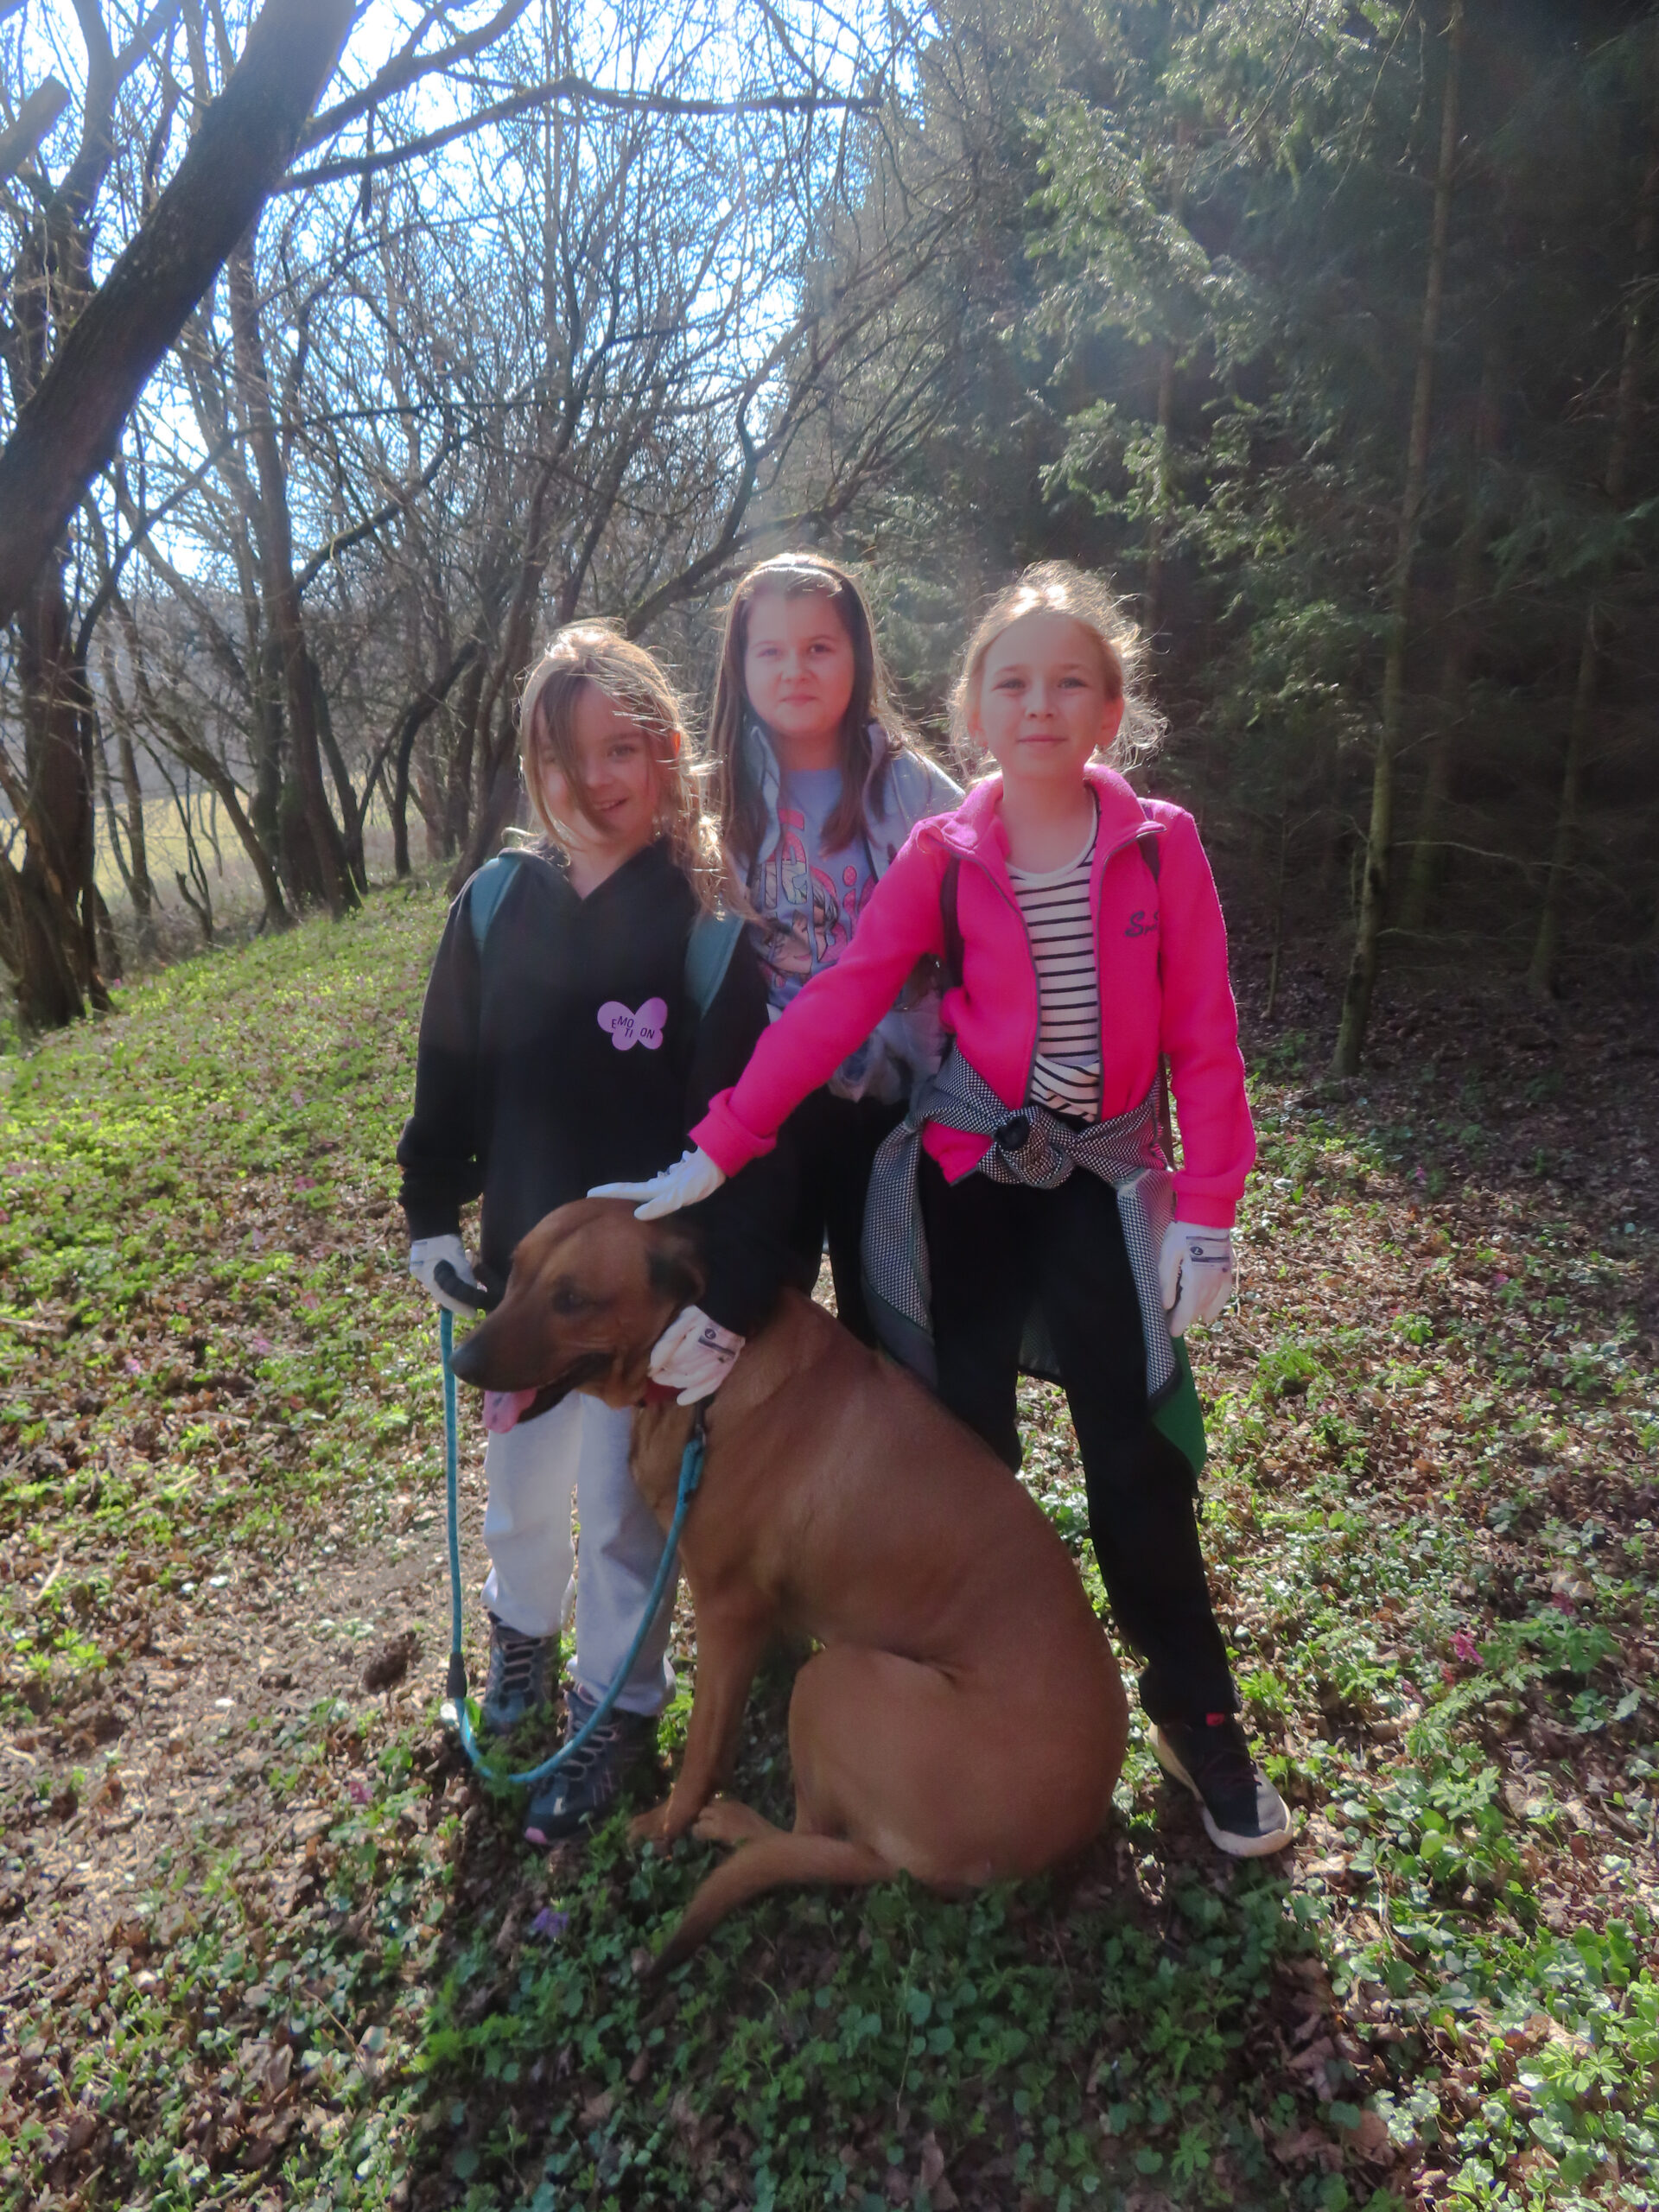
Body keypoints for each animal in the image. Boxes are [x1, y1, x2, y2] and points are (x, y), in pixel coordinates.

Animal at [451, 1198, 1128, 1967]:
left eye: (571, 1299)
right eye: (517, 1272)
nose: (462, 1362)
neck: (707, 1386)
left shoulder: (724, 1612)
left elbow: (702, 1751)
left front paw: (666, 1822)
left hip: (837, 1682)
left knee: (811, 1836)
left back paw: (735, 1826)